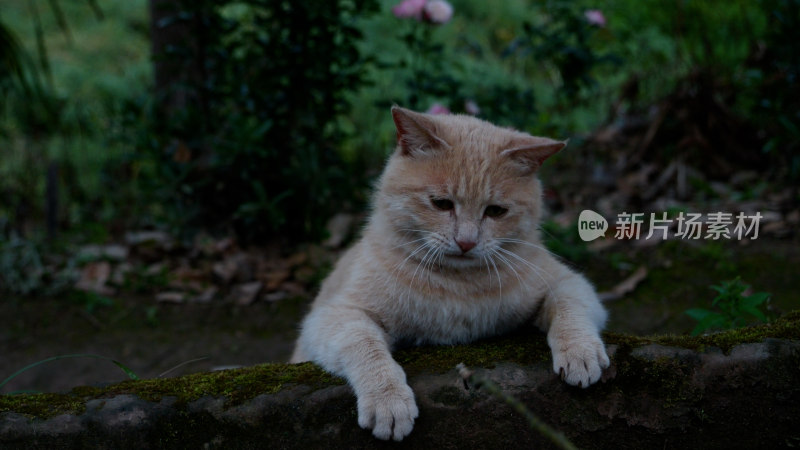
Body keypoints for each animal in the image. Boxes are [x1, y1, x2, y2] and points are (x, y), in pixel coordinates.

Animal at [290, 105, 608, 440]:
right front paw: (388, 400)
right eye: (441, 204)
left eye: (496, 211)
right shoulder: (335, 316)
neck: (458, 285)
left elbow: (569, 309)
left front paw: (580, 352)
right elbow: (365, 346)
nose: (466, 242)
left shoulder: (568, 282)